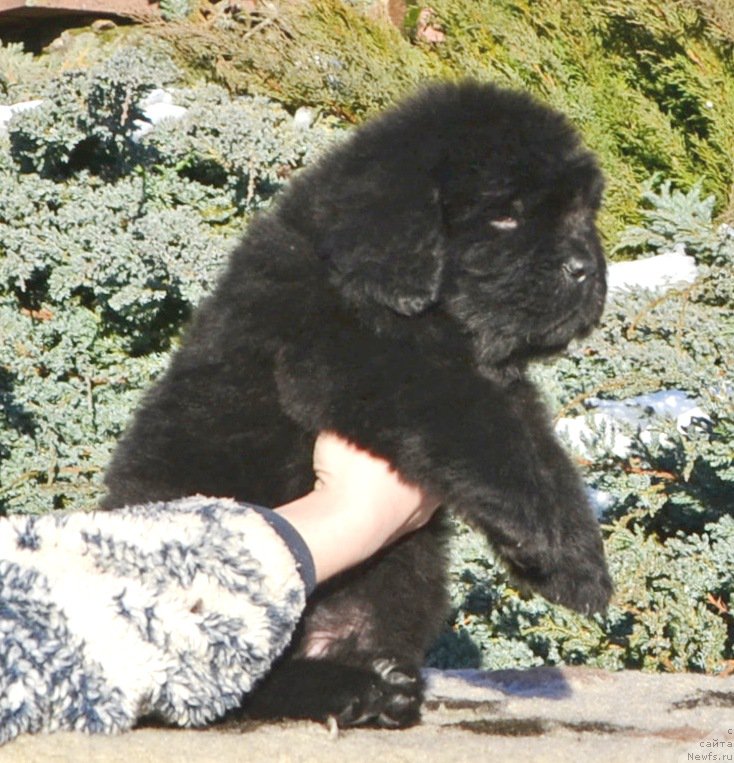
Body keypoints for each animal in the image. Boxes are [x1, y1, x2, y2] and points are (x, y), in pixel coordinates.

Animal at [102, 80, 608, 732]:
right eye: (505, 214)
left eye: (581, 215)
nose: (587, 270)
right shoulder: (368, 365)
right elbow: (490, 440)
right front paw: (560, 555)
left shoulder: (500, 389)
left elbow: (541, 455)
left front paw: (577, 558)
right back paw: (355, 692)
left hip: (404, 573)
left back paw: (378, 687)